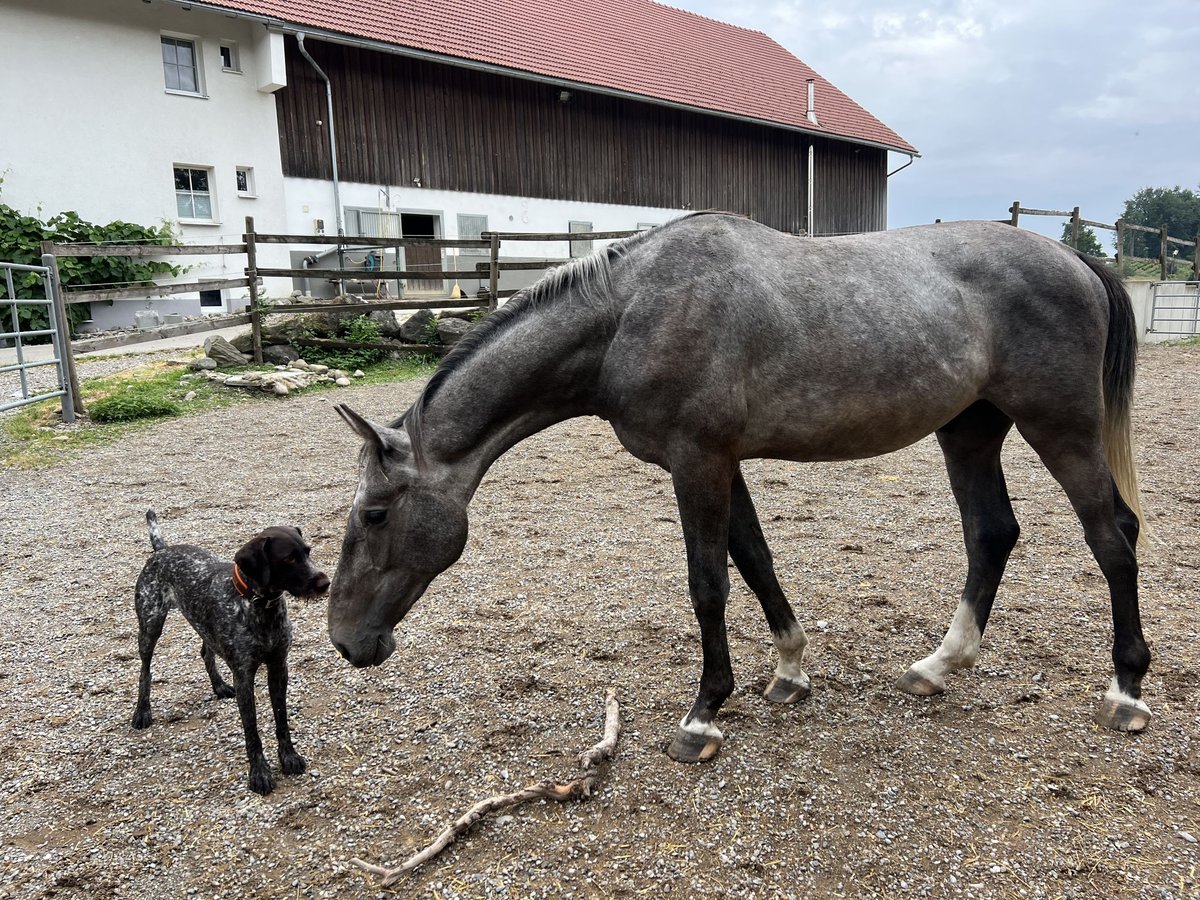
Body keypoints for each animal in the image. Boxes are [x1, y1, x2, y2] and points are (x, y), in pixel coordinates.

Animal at [131, 511, 331, 801]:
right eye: (289, 559)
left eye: (308, 551)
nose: (325, 582)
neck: (260, 607)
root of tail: (162, 549)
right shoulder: (244, 676)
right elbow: (252, 731)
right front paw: (259, 773)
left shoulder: (278, 667)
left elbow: (281, 720)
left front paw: (289, 757)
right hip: (150, 626)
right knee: (145, 670)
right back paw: (142, 711)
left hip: (202, 627)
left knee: (205, 652)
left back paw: (218, 686)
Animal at [324, 210, 1147, 763]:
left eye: (374, 514)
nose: (345, 640)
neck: (632, 312)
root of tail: (1076, 259)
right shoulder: (724, 463)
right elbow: (755, 562)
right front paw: (789, 672)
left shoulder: (698, 462)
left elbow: (709, 583)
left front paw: (702, 715)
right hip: (970, 432)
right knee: (992, 533)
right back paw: (938, 666)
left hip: (1059, 428)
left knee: (1112, 537)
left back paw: (1126, 692)